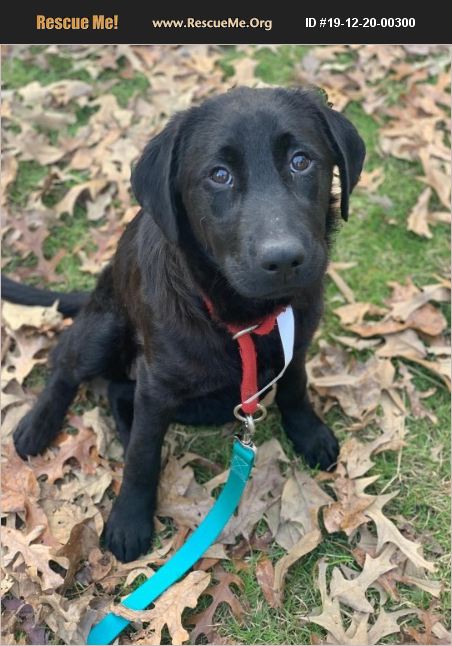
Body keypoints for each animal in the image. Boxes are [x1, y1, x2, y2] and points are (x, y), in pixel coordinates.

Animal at [3, 86, 366, 560]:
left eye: (301, 161)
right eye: (219, 175)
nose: (285, 259)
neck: (243, 320)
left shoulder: (297, 341)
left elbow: (295, 387)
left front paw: (309, 433)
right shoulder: (157, 384)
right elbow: (142, 456)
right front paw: (129, 519)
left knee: (119, 391)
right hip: (105, 326)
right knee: (67, 361)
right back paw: (37, 426)